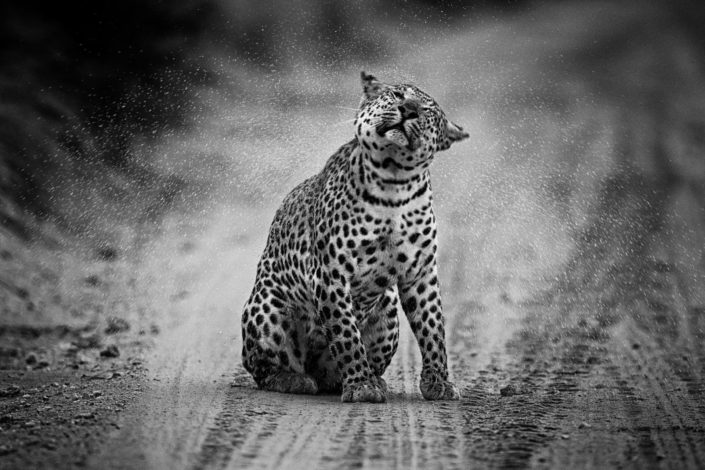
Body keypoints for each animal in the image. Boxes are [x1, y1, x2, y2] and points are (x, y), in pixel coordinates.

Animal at [240, 72, 469, 403]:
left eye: (427, 110)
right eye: (398, 95)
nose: (409, 110)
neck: (393, 181)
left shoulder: (421, 272)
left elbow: (433, 329)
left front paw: (438, 383)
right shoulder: (330, 273)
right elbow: (346, 333)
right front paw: (362, 386)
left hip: (387, 312)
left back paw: (371, 379)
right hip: (268, 306)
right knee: (263, 368)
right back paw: (294, 380)